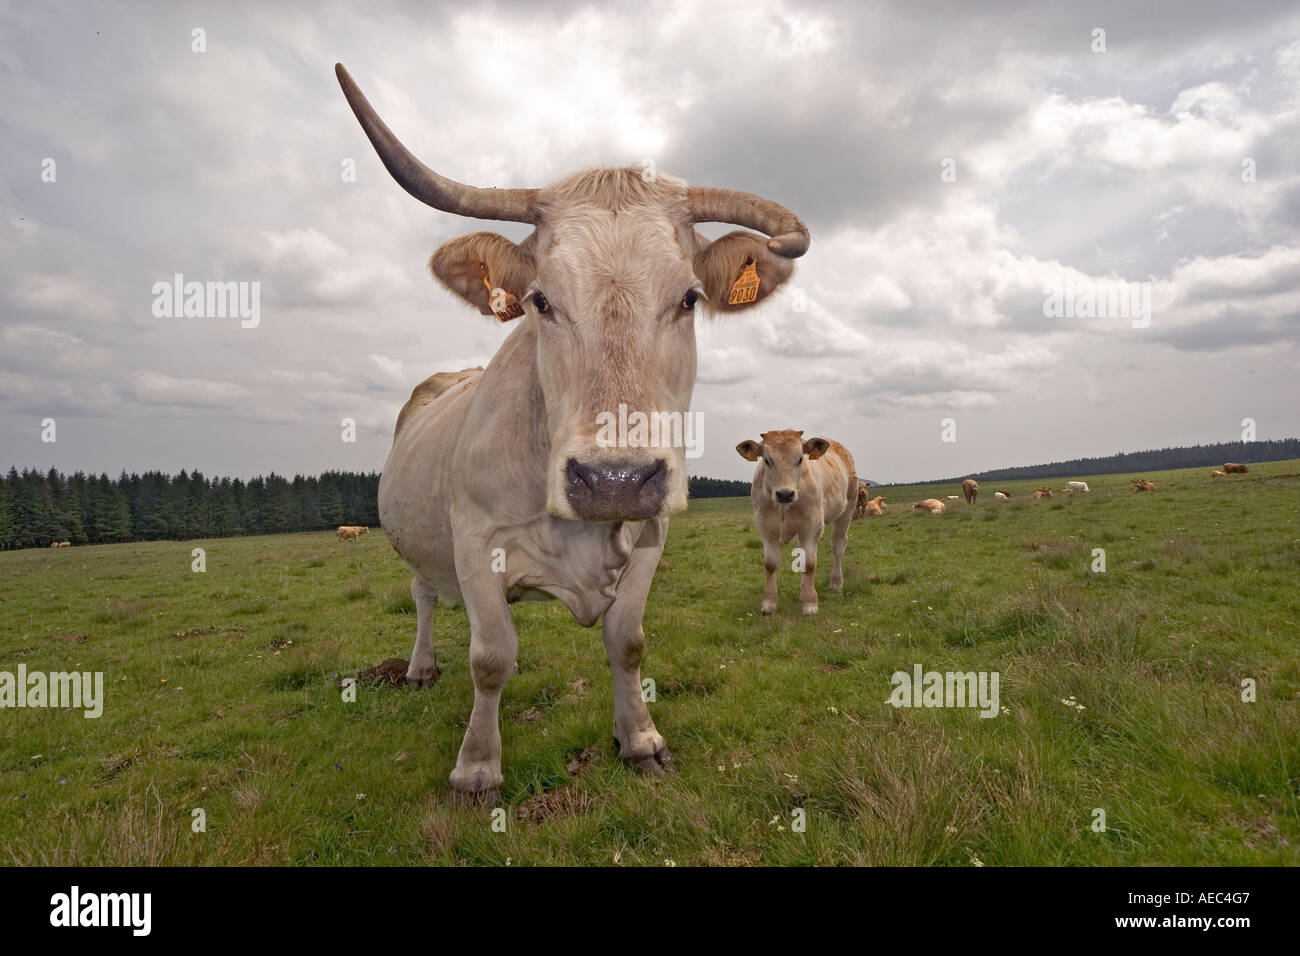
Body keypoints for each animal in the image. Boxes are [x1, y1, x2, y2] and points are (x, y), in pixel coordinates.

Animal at [336, 64, 809, 799]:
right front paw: (477, 769)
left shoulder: (651, 535)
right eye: (540, 301)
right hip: (419, 546)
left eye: (689, 298)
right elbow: (491, 657)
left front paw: (639, 739)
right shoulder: (476, 545)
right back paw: (418, 667)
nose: (613, 479)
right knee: (423, 596)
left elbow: (628, 642)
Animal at [736, 431, 855, 616]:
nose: (785, 494)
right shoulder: (765, 526)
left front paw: (810, 603)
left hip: (847, 510)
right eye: (767, 460)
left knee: (838, 546)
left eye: (800, 459)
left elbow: (809, 563)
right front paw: (769, 603)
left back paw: (836, 583)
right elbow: (770, 563)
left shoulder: (812, 525)